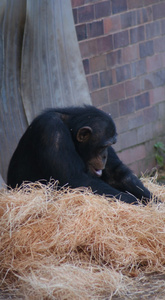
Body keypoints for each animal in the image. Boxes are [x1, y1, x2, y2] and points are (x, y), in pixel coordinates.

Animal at [7, 105, 152, 204]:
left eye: (110, 145)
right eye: (103, 146)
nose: (104, 156)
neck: (70, 129)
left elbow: (116, 174)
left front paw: (153, 202)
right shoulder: (52, 130)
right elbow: (77, 180)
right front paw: (135, 202)